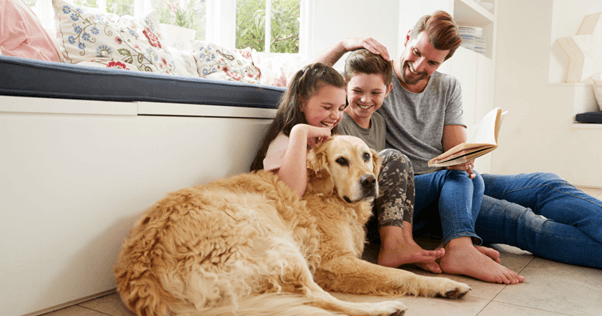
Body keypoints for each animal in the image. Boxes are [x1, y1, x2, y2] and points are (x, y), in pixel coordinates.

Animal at [112, 136, 468, 316]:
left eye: (366, 156)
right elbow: (400, 274)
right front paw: (442, 284)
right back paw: (384, 308)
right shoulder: (333, 263)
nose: (370, 181)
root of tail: (145, 277)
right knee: (317, 299)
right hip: (277, 241)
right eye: (341, 161)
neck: (328, 195)